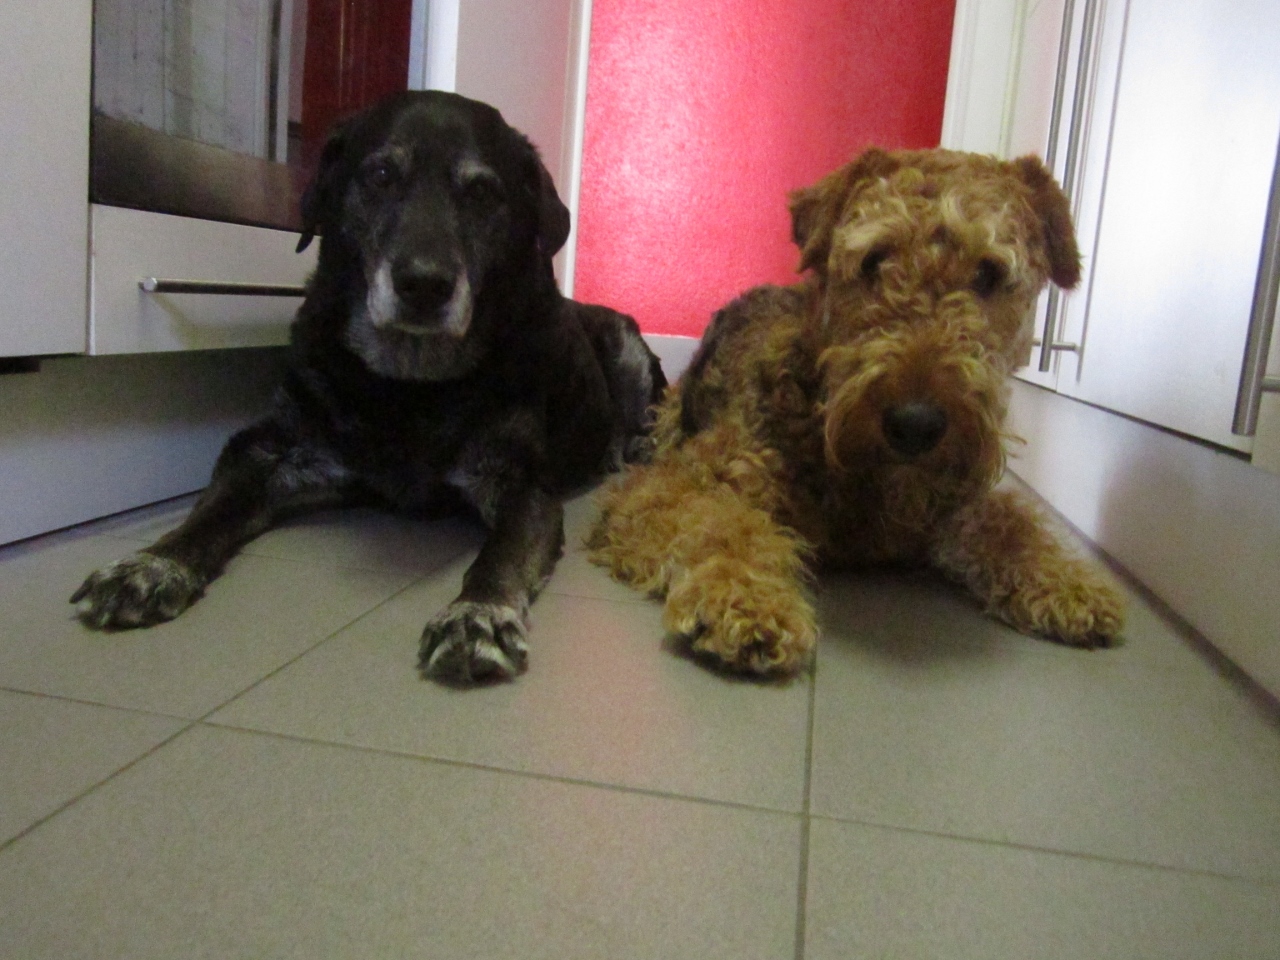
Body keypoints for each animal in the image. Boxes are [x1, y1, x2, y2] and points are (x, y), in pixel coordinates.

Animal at [72, 90, 666, 684]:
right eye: (380, 175)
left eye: (481, 192)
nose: (424, 283)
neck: (411, 379)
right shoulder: (269, 448)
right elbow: (211, 510)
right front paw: (153, 564)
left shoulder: (523, 482)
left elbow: (501, 554)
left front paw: (477, 615)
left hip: (626, 345)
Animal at [588, 147, 1125, 674]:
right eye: (874, 259)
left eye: (987, 273)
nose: (915, 424)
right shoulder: (678, 485)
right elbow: (721, 524)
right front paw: (745, 599)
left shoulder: (955, 500)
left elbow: (1010, 525)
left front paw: (1071, 585)